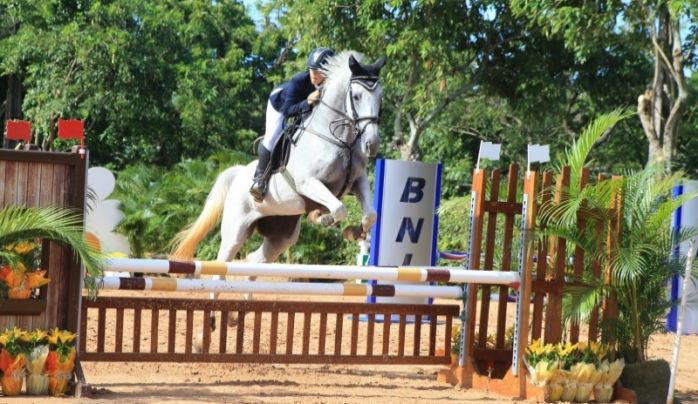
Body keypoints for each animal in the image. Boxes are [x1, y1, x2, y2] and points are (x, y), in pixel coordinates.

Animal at [170, 51, 385, 330]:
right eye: (357, 96)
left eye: (380, 96)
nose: (372, 145)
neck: (340, 139)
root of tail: (238, 174)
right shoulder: (309, 183)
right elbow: (338, 208)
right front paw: (323, 218)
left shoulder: (357, 181)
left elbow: (371, 214)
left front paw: (354, 231)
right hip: (236, 231)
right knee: (220, 266)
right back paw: (213, 319)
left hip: (281, 237)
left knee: (253, 261)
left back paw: (239, 313)